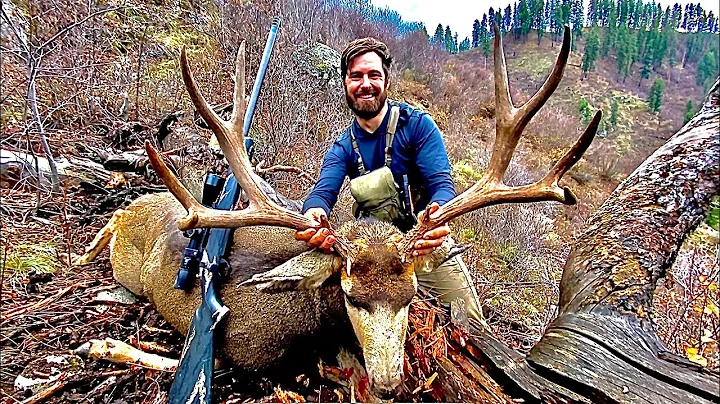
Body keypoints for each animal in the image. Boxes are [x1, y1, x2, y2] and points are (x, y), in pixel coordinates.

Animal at [78, 25, 600, 398]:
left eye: (411, 295)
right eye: (351, 296)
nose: (390, 384)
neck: (312, 330)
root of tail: (133, 208)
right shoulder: (238, 350)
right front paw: (100, 344)